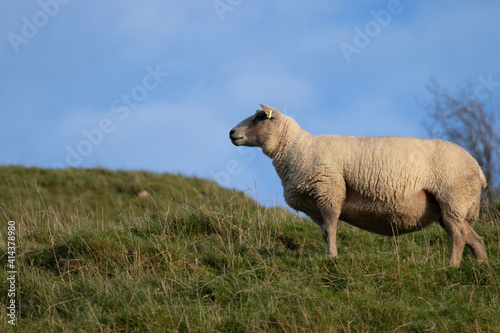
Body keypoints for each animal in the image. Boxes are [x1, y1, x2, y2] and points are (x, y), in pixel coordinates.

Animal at [230, 105, 488, 266]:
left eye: (259, 117)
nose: (231, 132)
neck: (296, 148)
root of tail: (479, 170)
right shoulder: (314, 206)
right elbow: (324, 232)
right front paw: (330, 253)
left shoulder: (329, 192)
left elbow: (331, 228)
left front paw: (332, 257)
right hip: (452, 208)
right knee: (473, 238)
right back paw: (480, 266)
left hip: (453, 198)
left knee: (459, 235)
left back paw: (452, 266)